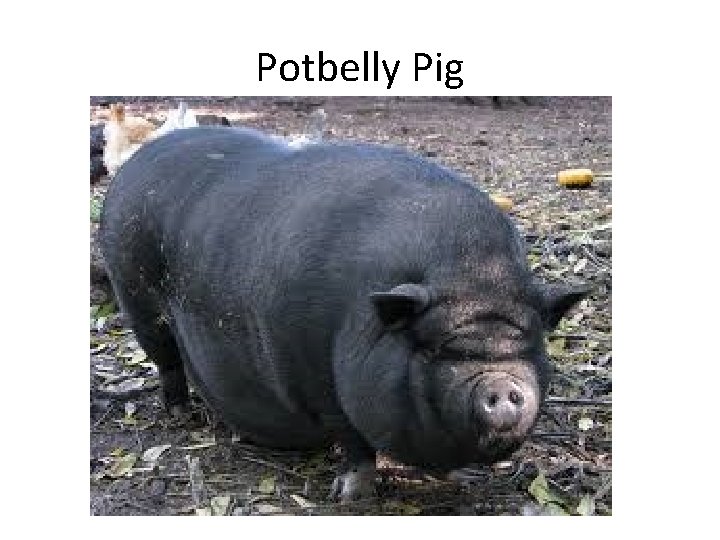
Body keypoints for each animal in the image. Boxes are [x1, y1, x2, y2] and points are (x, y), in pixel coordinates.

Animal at [99, 127, 588, 501]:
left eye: (529, 342)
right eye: (435, 348)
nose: (502, 385)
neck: (470, 272)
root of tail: (135, 163)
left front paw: (459, 479)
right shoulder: (314, 377)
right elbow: (353, 441)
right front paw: (350, 495)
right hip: (134, 295)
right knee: (165, 359)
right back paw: (182, 415)